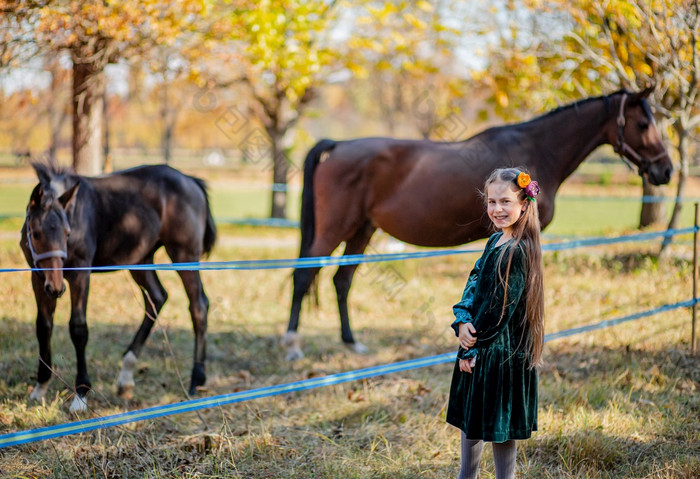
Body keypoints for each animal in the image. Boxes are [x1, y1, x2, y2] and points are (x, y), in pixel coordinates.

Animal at [21, 164, 216, 412]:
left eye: (67, 232)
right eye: (36, 233)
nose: (56, 288)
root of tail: (191, 180)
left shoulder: (80, 274)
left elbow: (78, 328)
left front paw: (81, 395)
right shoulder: (37, 277)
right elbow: (43, 327)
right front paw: (39, 388)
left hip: (184, 255)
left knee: (198, 305)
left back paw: (196, 381)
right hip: (141, 259)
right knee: (157, 298)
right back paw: (126, 377)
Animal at [284, 88, 672, 362]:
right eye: (642, 124)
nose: (665, 170)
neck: (537, 148)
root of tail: (339, 145)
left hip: (363, 230)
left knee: (341, 280)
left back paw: (352, 344)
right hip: (335, 228)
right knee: (304, 275)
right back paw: (293, 345)